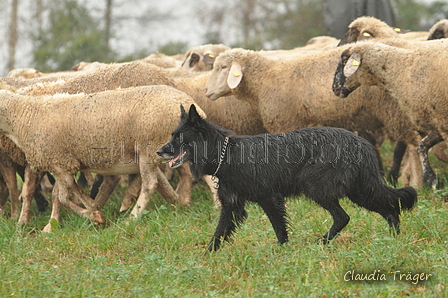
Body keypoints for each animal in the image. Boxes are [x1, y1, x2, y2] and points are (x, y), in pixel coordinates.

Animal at [0, 85, 206, 232]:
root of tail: (188, 101)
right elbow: (66, 193)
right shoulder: (63, 164)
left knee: (149, 184)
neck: (26, 117)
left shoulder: (61, 164)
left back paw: (132, 218)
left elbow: (62, 197)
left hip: (148, 148)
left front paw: (95, 217)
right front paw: (91, 209)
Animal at [157, 105, 416, 251]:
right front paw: (206, 257)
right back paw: (394, 238)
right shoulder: (232, 207)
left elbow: (279, 229)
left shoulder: (270, 199)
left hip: (317, 186)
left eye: (179, 137)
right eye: (172, 135)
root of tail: (361, 143)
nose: (159, 151)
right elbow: (218, 234)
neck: (226, 153)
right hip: (359, 190)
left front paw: (283, 252)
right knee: (389, 207)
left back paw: (322, 242)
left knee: (343, 217)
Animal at [205, 46, 426, 186]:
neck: (264, 80)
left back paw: (418, 183)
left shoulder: (286, 122)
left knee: (414, 145)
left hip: (393, 110)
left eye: (223, 67)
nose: (206, 91)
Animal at [332, 37, 448, 186]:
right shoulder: (438, 122)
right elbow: (422, 145)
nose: (334, 88)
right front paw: (432, 179)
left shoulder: (442, 119)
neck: (401, 70)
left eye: (344, 61)